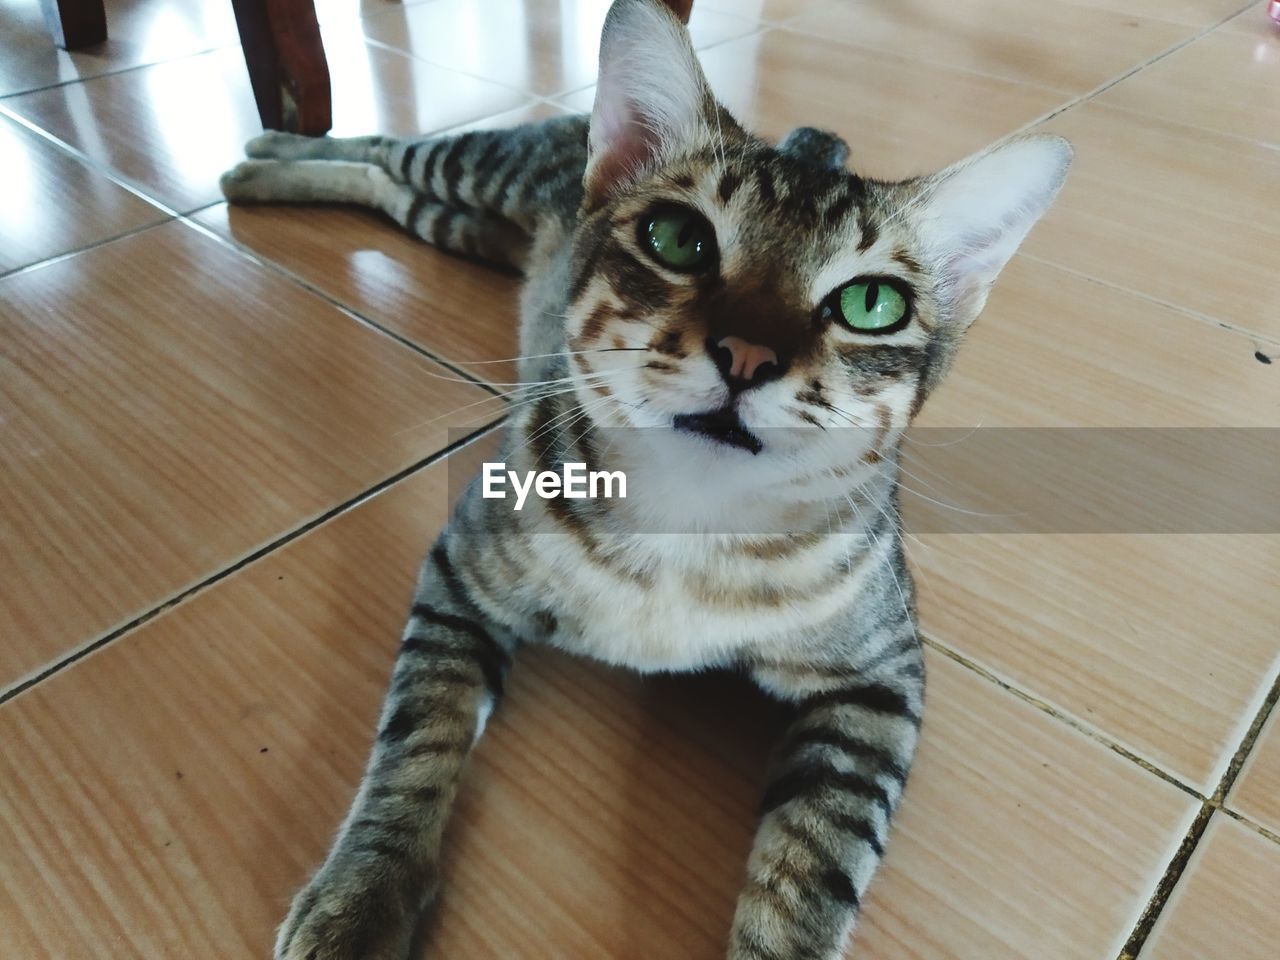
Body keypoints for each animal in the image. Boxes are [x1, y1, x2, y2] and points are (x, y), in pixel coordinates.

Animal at [220, 0, 1070, 957]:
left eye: (870, 303)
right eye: (678, 237)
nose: (749, 352)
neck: (688, 520)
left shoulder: (880, 683)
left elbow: (816, 861)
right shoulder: (460, 572)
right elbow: (416, 743)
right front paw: (363, 895)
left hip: (461, 224)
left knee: (396, 191)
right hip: (484, 168)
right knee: (384, 147)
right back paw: (268, 155)